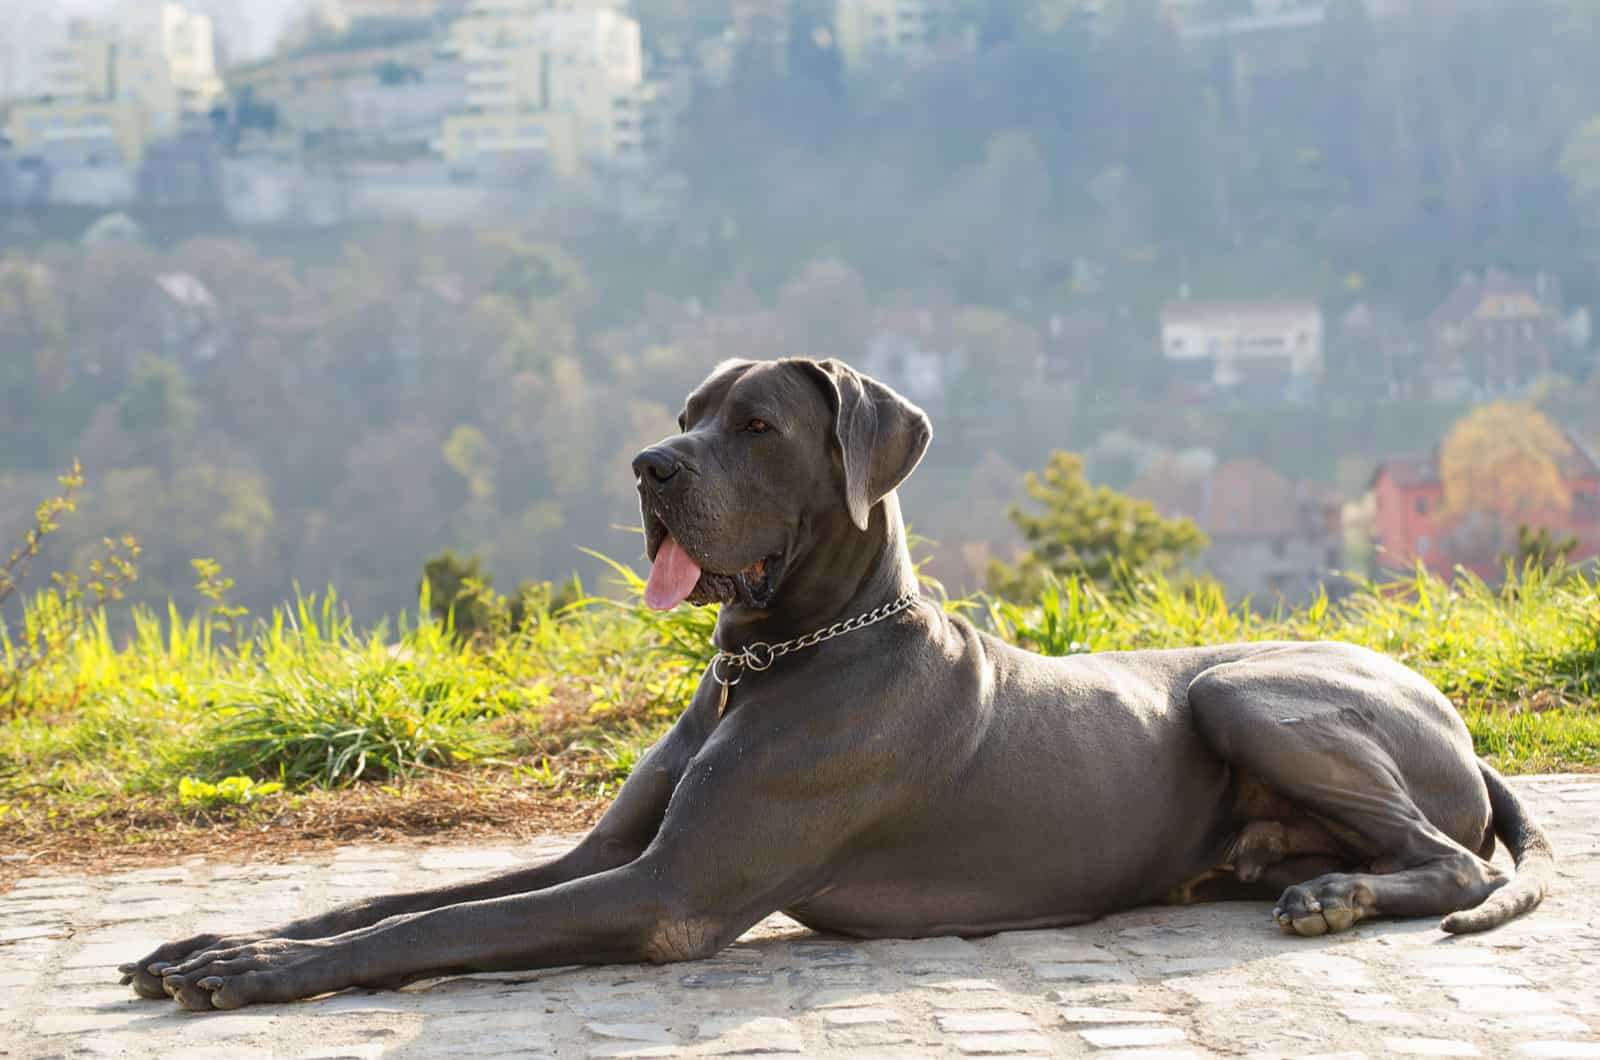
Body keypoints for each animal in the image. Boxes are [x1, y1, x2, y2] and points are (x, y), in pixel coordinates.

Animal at [121, 357, 1548, 1011]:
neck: (769, 660)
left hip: (1246, 691)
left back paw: (1334, 894)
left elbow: (428, 932)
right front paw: (213, 939)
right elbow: (395, 896)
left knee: (1454, 860)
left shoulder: (666, 895)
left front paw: (250, 972)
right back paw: (1299, 877)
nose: (647, 467)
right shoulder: (607, 853)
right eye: (684, 412)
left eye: (755, 424)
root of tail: (1457, 721)